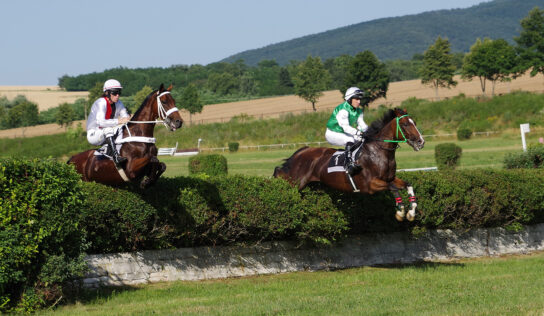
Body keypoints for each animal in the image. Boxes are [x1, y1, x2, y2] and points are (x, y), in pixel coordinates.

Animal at [276, 108, 424, 222]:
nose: (421, 142)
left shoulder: (390, 178)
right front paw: (400, 212)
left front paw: (411, 212)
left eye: (415, 123)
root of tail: (301, 151)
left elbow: (408, 185)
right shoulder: (371, 184)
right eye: (405, 124)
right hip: (295, 183)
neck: (378, 152)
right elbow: (393, 188)